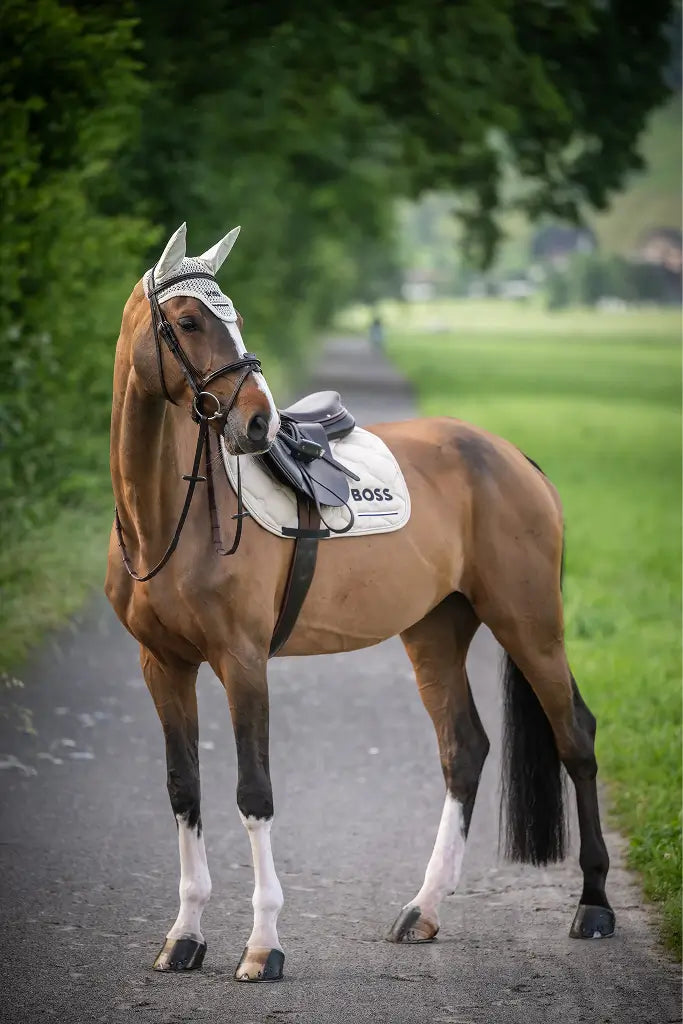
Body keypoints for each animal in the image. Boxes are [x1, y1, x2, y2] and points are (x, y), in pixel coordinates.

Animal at [105, 223, 615, 984]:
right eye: (190, 322)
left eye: (235, 318)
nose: (257, 424)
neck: (171, 515)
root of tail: (511, 456)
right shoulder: (162, 665)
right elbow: (183, 790)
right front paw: (184, 937)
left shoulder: (242, 661)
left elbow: (253, 793)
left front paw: (263, 947)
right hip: (435, 631)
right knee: (464, 748)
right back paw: (423, 910)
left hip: (530, 624)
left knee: (574, 736)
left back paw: (593, 906)